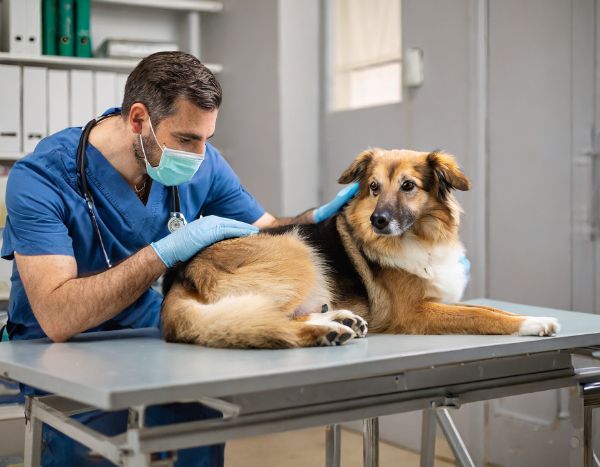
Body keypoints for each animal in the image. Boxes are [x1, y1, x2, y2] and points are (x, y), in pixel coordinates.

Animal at [162, 148, 560, 350]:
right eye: (372, 187)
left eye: (408, 186)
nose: (378, 221)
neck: (420, 238)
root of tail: (181, 272)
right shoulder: (415, 312)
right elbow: (483, 315)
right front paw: (532, 322)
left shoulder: (438, 300)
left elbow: (489, 307)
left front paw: (527, 317)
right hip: (296, 250)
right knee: (267, 320)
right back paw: (326, 331)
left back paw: (341, 320)